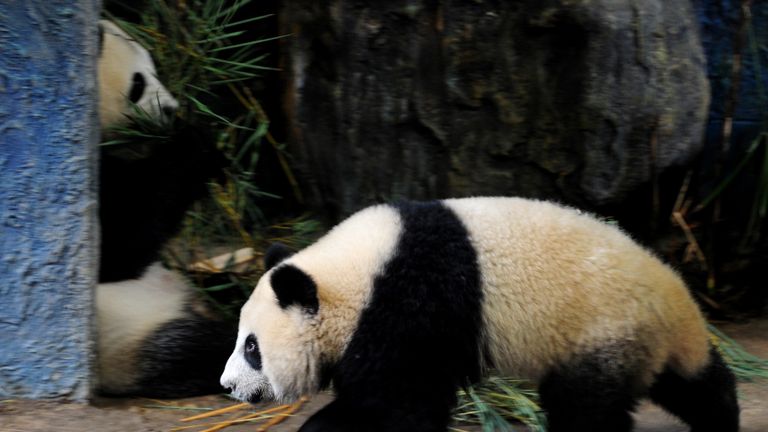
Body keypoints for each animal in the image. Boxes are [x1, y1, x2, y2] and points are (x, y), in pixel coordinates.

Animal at [95, 19, 234, 397]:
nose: (171, 108)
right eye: (138, 83)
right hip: (126, 336)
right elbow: (121, 246)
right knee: (200, 349)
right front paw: (196, 141)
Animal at [220, 197, 739, 432]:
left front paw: (327, 426)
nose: (226, 386)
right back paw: (719, 420)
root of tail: (673, 300)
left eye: (252, 347)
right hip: (637, 343)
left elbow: (400, 402)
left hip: (600, 331)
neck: (355, 278)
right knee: (694, 383)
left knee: (584, 410)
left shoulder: (412, 307)